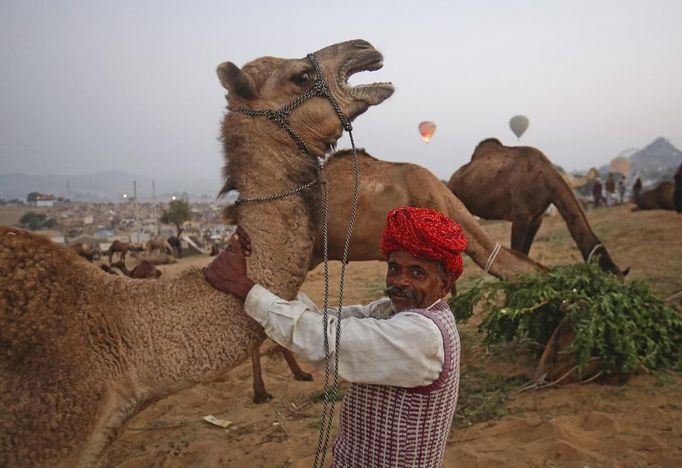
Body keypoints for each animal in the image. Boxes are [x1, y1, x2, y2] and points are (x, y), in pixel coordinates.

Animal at [446, 139, 628, 278]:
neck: (544, 180)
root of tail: (451, 179)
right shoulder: (521, 215)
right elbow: (516, 251)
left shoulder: (537, 217)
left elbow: (525, 253)